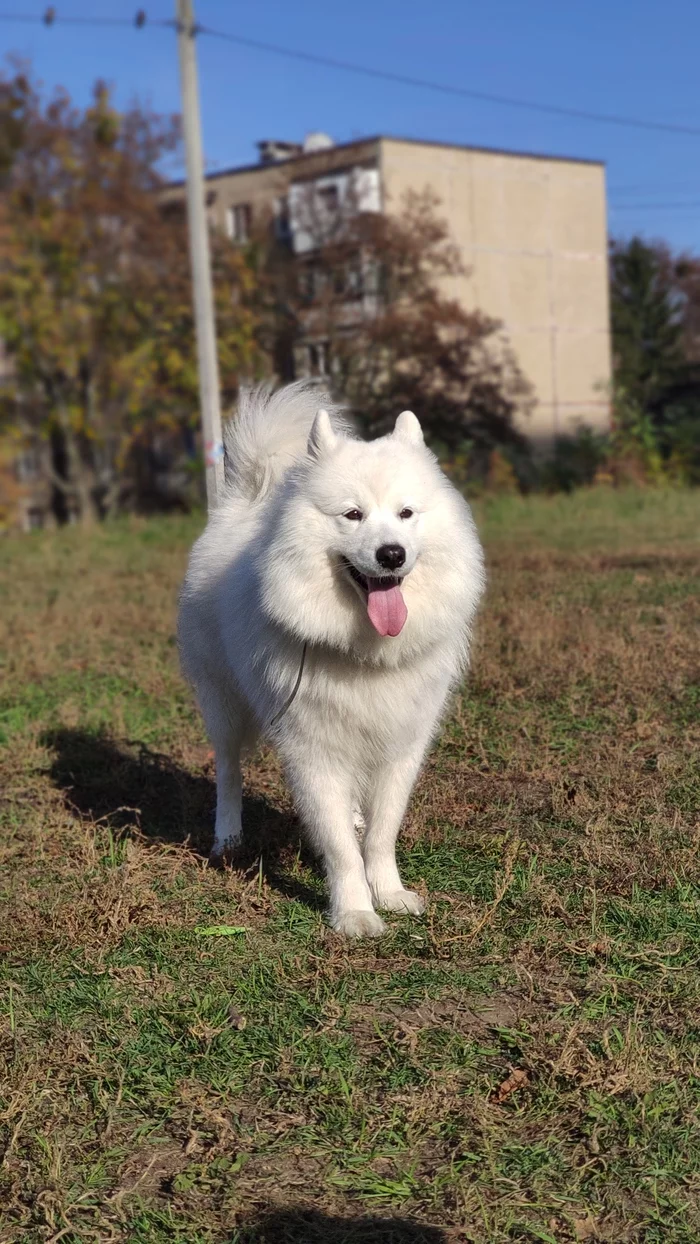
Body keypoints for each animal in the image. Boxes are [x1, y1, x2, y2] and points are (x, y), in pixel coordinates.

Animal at [177, 383, 484, 935]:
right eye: (352, 515)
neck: (366, 650)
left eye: (406, 514)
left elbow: (381, 832)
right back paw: (227, 839)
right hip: (224, 706)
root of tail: (243, 504)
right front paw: (356, 912)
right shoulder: (313, 751)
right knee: (229, 771)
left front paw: (390, 892)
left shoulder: (402, 744)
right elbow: (340, 846)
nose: (391, 554)